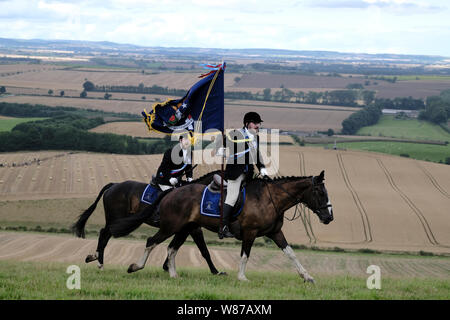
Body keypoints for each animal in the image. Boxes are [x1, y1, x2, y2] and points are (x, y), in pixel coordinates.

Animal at [70, 171, 223, 274]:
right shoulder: (192, 229)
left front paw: (166, 267)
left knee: (105, 235)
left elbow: (175, 246)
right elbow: (203, 250)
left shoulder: (184, 229)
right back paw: (100, 263)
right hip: (115, 218)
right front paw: (216, 271)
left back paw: (95, 258)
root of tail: (114, 185)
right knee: (104, 234)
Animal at [109, 171, 334, 282]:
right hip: (171, 226)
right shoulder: (250, 232)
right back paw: (135, 266)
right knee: (152, 241)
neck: (270, 199)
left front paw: (307, 276)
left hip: (184, 228)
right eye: (320, 193)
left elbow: (291, 254)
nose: (329, 217)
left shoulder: (275, 233)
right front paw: (242, 277)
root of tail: (173, 191)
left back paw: (173, 274)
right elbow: (245, 255)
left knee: (171, 248)